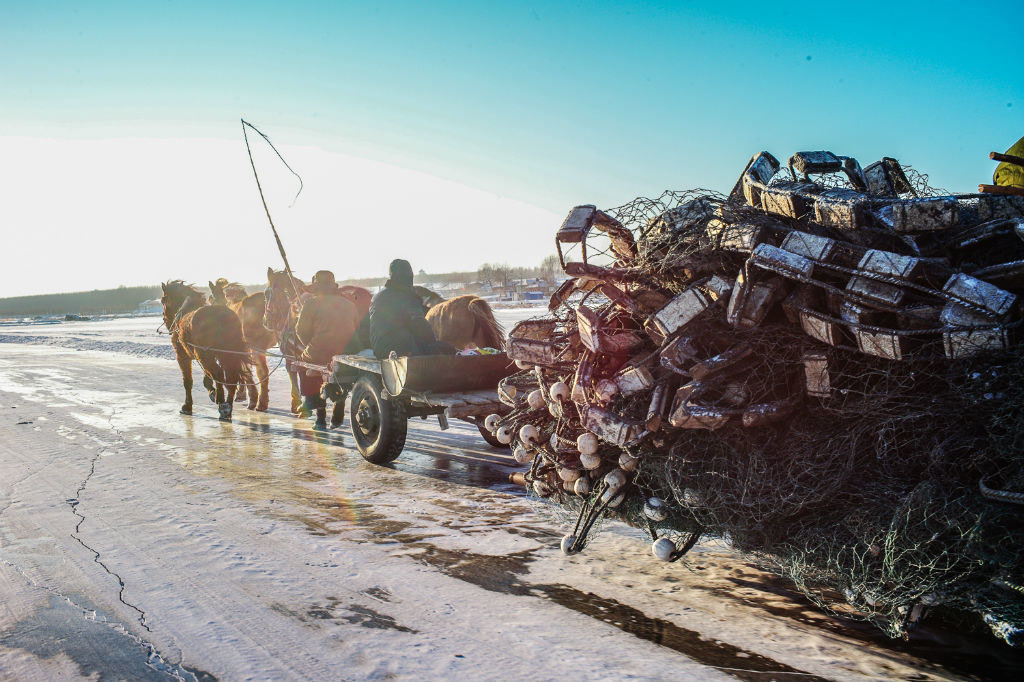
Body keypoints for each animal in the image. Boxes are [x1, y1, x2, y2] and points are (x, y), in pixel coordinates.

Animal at [160, 278, 248, 417]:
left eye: (163, 300)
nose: (165, 319)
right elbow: (207, 376)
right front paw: (213, 392)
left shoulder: (182, 356)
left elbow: (188, 381)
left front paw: (187, 406)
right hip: (225, 354)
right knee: (230, 377)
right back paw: (227, 405)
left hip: (205, 354)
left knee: (219, 373)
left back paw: (224, 406)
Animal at [207, 276, 276, 409]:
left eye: (211, 299)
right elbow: (245, 369)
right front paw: (243, 394)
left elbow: (243, 369)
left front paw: (250, 397)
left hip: (257, 347)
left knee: (262, 372)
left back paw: (261, 402)